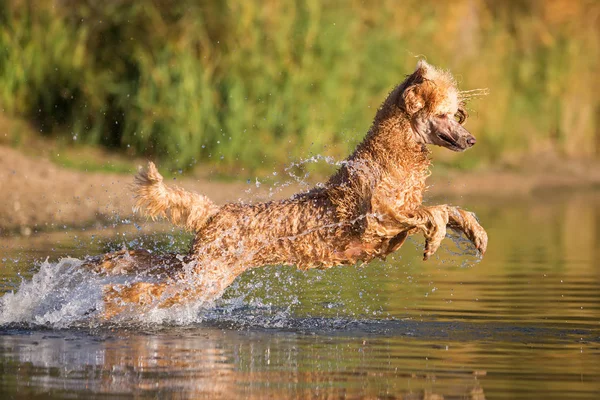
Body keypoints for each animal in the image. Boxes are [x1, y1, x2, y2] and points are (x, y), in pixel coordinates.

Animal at [85, 61, 488, 318]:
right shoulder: (377, 221)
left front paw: (475, 232)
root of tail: (214, 212)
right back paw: (108, 307)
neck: (392, 155)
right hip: (202, 277)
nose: (471, 140)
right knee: (139, 291)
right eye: (444, 114)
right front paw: (435, 237)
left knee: (143, 265)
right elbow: (432, 212)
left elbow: (450, 209)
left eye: (456, 114)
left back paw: (106, 265)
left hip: (196, 267)